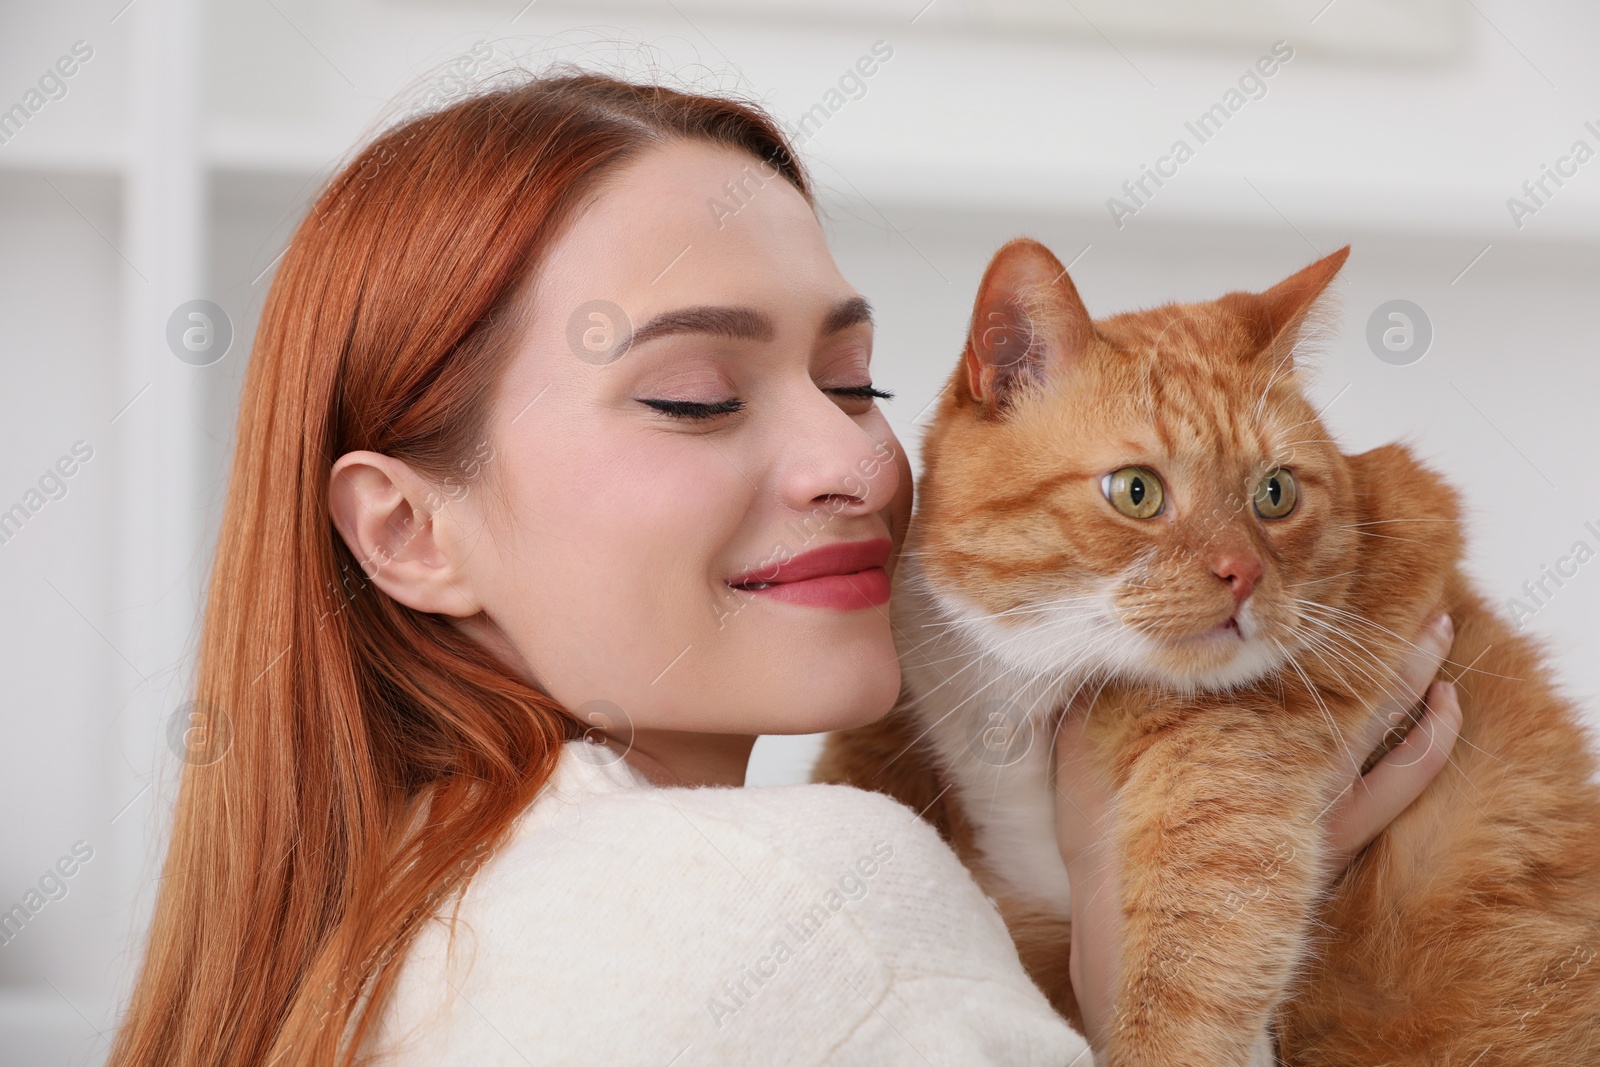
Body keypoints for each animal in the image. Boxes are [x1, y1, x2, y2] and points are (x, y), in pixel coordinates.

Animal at [819, 241, 1600, 1067]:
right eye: (1135, 491)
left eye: (1275, 492)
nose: (1243, 573)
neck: (1024, 685)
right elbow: (861, 751)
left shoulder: (1229, 778)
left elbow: (1189, 972)